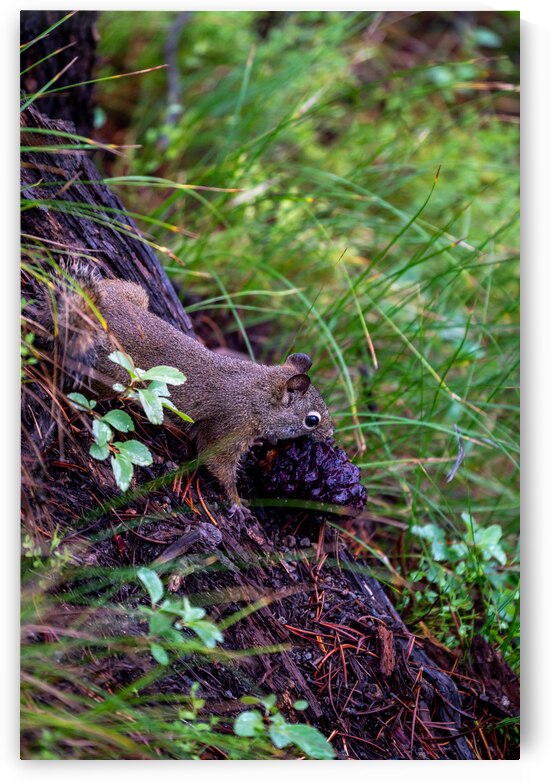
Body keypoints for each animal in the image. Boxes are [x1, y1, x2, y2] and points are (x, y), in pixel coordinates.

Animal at [45, 270, 334, 521]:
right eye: (312, 420)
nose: (330, 434)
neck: (257, 393)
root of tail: (97, 312)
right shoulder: (230, 427)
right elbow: (217, 463)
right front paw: (237, 502)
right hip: (113, 372)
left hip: (133, 293)